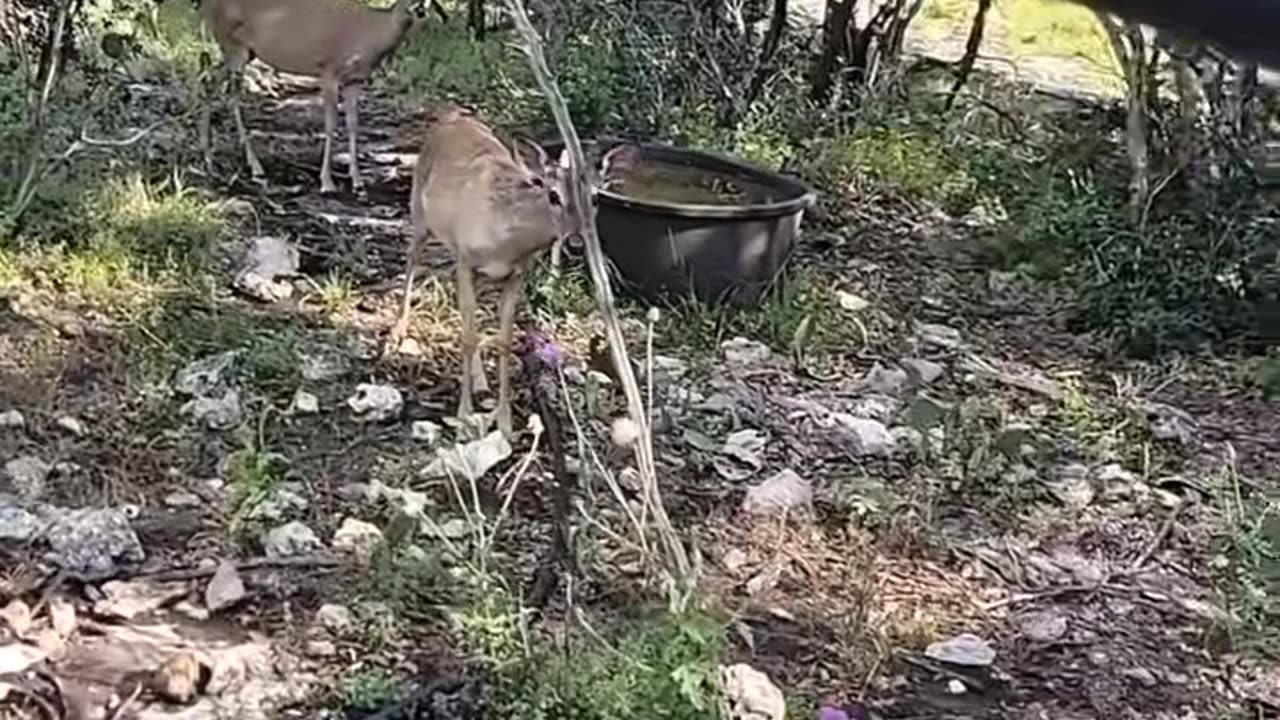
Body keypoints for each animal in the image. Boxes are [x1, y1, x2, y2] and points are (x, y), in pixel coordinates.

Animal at [201, 0, 440, 194]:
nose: (417, 10)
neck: (371, 34)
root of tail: (210, 7)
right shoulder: (328, 71)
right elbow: (331, 123)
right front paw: (327, 182)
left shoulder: (355, 81)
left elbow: (353, 124)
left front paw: (357, 182)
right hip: (233, 47)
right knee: (224, 91)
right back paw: (249, 166)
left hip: (244, 53)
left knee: (210, 82)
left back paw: (212, 155)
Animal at [391, 104, 639, 438]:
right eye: (553, 195)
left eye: (596, 198)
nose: (575, 243)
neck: (507, 238)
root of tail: (452, 115)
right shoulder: (466, 259)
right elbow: (469, 337)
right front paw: (463, 417)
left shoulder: (515, 274)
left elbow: (504, 341)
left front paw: (505, 423)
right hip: (419, 212)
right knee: (411, 260)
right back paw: (398, 330)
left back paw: (480, 382)